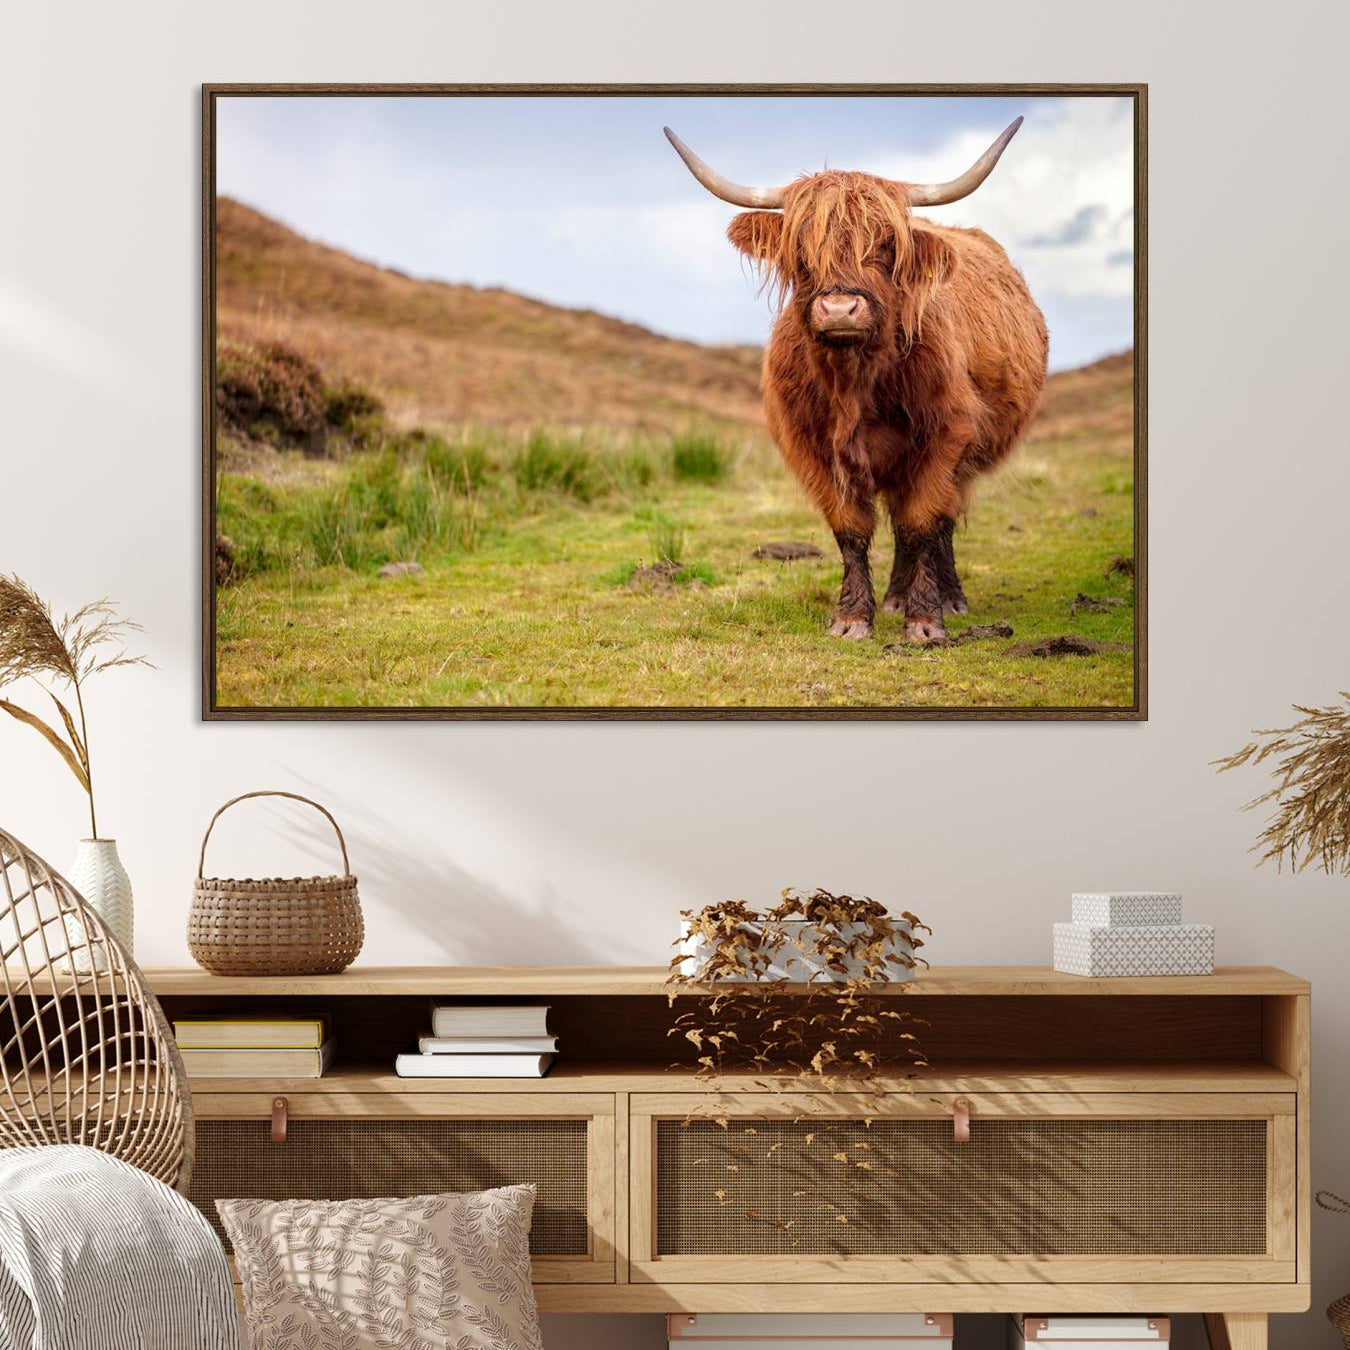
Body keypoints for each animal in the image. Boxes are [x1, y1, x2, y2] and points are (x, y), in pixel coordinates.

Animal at [665, 118, 1048, 644]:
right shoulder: (815, 449)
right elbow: (851, 529)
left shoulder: (945, 437)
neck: (855, 382)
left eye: (886, 245)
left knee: (939, 522)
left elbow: (922, 522)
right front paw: (851, 618)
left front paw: (925, 622)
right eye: (801, 249)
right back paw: (894, 597)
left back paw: (947, 596)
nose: (840, 309)